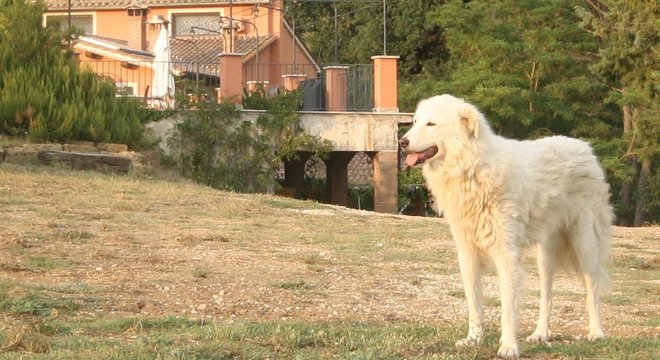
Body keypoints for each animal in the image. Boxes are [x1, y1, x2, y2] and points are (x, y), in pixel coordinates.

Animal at [398, 94, 612, 358]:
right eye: (415, 122)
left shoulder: (506, 255)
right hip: (545, 255)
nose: (402, 142)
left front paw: (508, 346)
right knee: (547, 295)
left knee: (592, 289)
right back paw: (540, 334)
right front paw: (474, 339)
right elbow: (474, 302)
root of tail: (585, 148)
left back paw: (596, 333)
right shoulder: (467, 253)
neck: (473, 168)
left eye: (431, 124)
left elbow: (507, 309)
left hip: (584, 245)